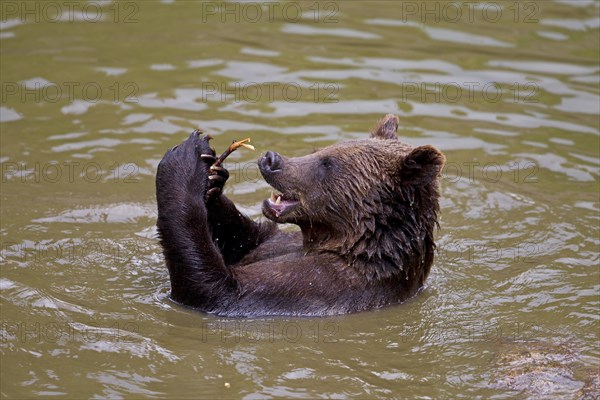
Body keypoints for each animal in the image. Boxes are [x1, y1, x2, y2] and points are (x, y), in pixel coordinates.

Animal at [155, 114, 446, 318]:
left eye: (327, 163)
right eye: (320, 150)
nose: (272, 159)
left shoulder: (318, 285)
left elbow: (214, 288)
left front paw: (186, 158)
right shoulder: (278, 243)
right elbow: (246, 238)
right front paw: (212, 178)